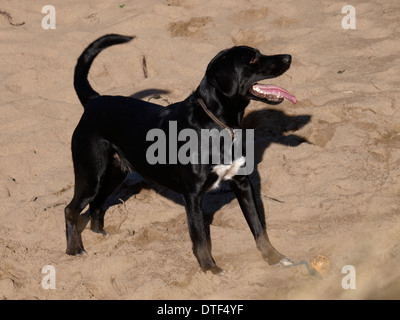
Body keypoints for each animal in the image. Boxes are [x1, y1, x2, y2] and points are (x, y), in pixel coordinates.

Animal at [65, 33, 296, 274]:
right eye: (252, 60)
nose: (288, 57)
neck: (219, 124)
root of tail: (94, 100)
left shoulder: (242, 183)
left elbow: (258, 227)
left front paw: (274, 257)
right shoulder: (192, 195)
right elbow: (200, 238)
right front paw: (209, 268)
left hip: (114, 173)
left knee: (97, 204)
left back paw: (100, 235)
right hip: (92, 175)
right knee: (71, 209)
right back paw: (75, 249)